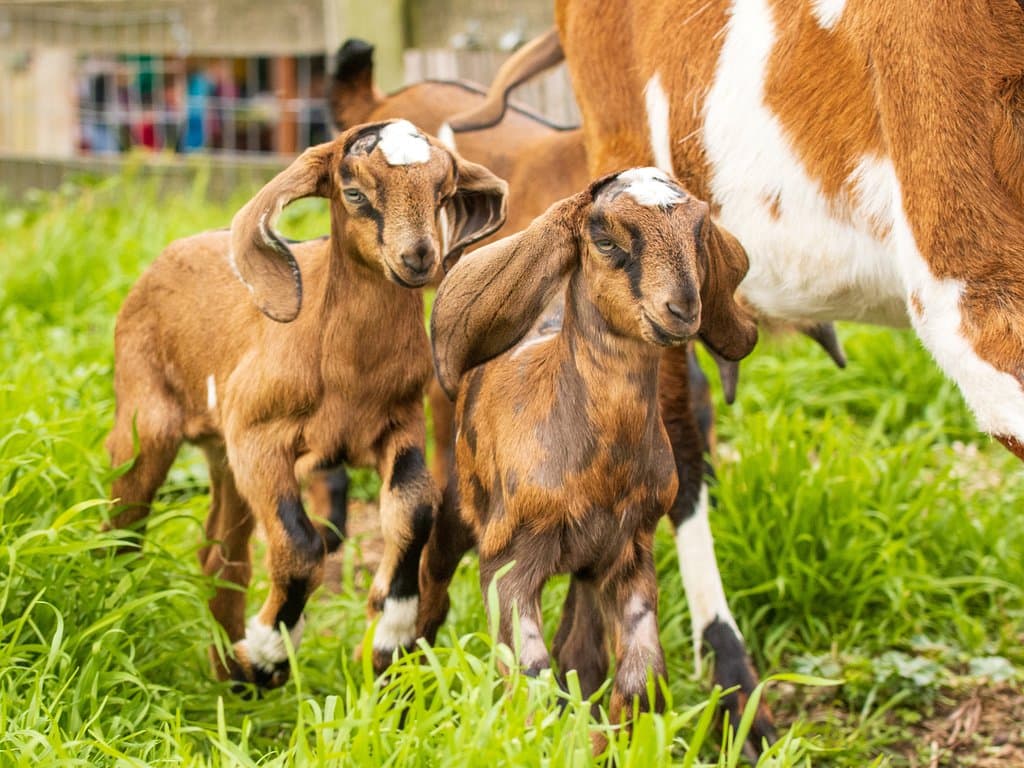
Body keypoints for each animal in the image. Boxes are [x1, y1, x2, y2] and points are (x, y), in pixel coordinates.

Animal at [105, 119, 507, 685]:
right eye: (354, 193)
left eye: (444, 195)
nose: (418, 258)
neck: (347, 371)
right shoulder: (259, 435)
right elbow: (299, 544)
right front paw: (270, 653)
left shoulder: (398, 426)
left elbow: (416, 510)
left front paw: (389, 633)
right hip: (148, 416)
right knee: (127, 516)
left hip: (223, 456)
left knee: (222, 555)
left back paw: (230, 671)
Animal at [420, 168, 757, 741]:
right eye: (605, 240)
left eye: (699, 233)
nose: (682, 309)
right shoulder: (508, 562)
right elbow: (535, 682)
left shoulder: (630, 554)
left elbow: (639, 679)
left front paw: (608, 740)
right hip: (463, 507)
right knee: (429, 575)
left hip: (586, 565)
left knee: (581, 646)